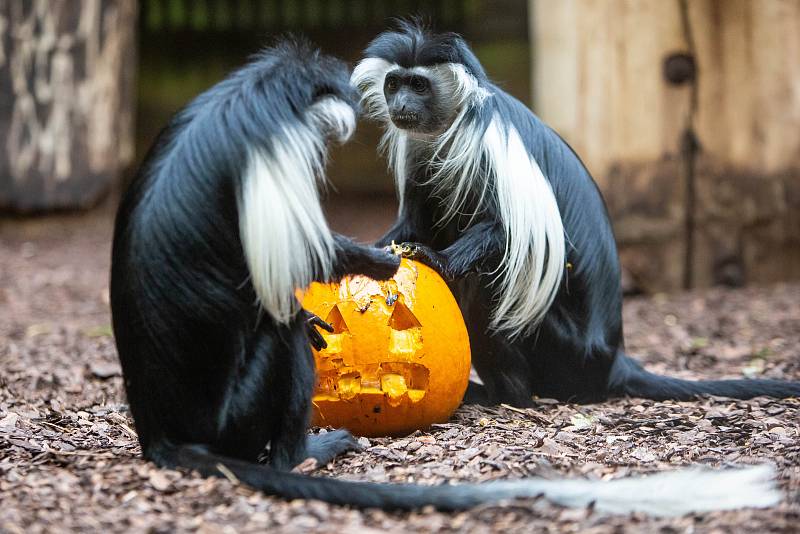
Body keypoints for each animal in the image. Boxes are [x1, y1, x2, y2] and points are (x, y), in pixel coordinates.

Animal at [354, 21, 800, 406]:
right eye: (394, 84)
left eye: (418, 85)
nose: (400, 103)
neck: (449, 127)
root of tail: (612, 359)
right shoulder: (417, 153)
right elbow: (415, 222)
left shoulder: (487, 141)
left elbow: (508, 234)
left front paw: (434, 258)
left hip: (565, 349)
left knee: (489, 282)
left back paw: (507, 396)